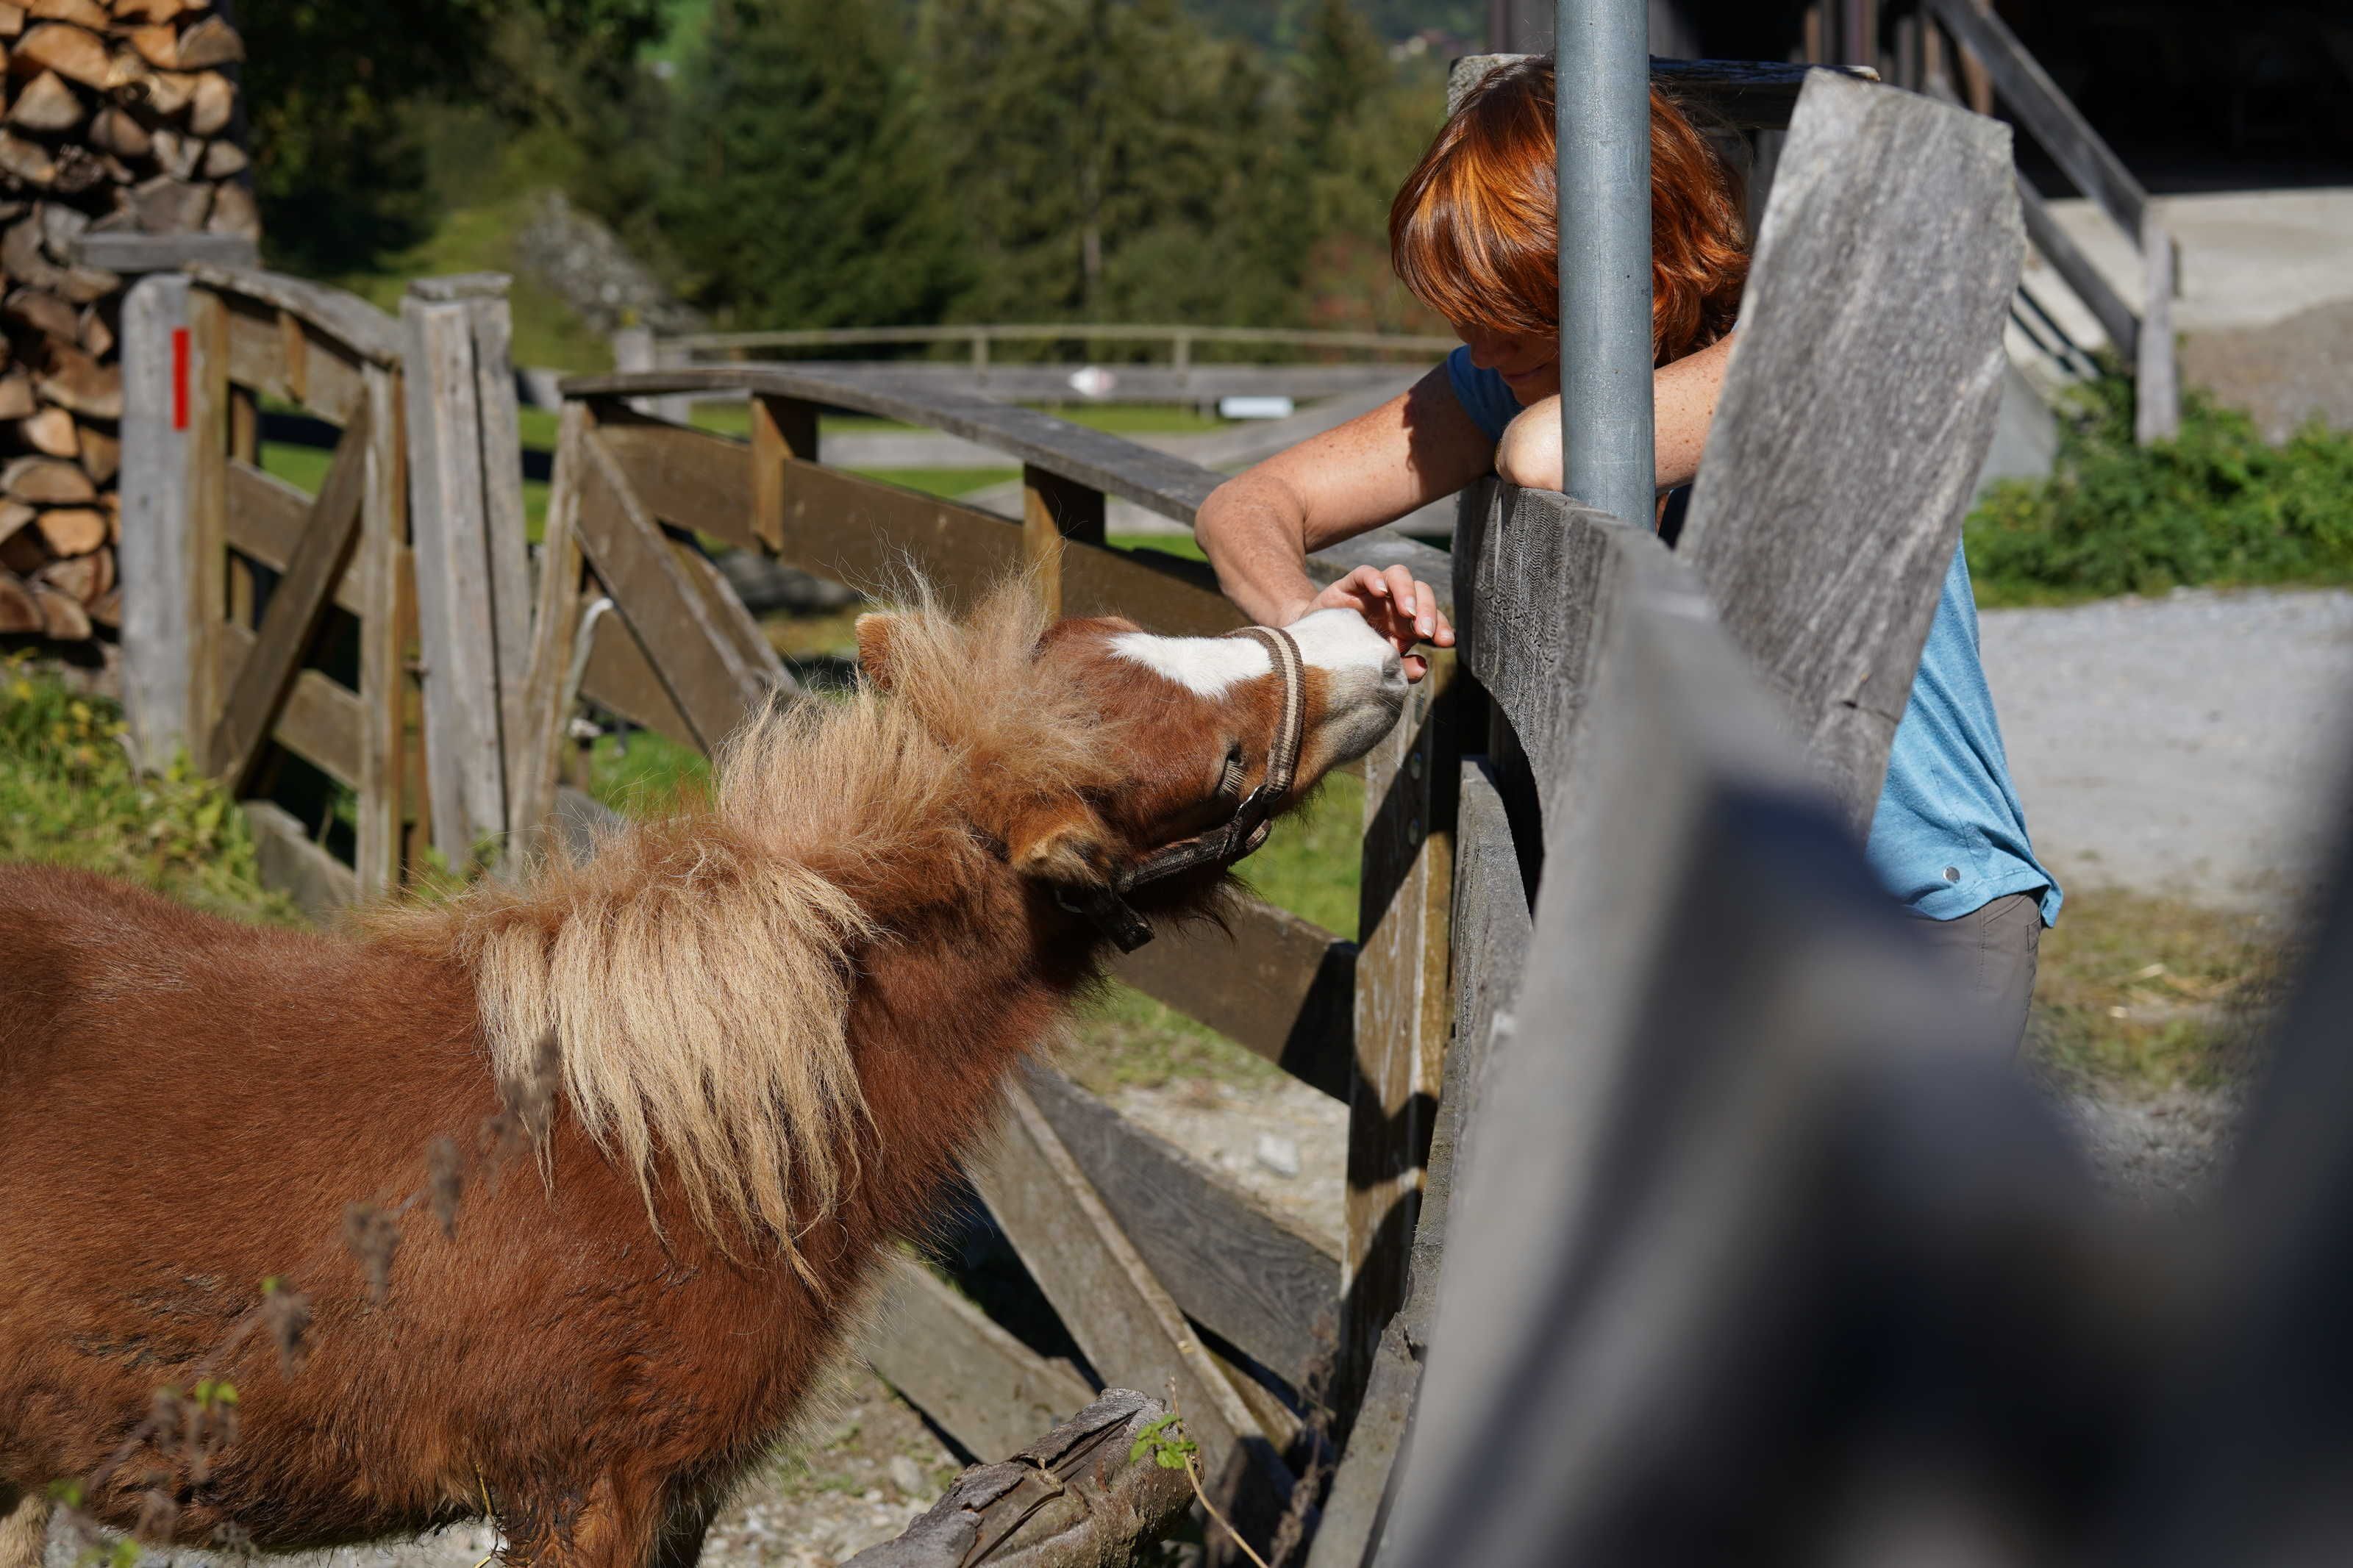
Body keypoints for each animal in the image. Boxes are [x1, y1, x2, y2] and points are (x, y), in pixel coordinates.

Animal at [0, 584, 1407, 1568]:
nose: (1375, 643)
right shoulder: (587, 1493)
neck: (655, 1148)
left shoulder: (678, 1494)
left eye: (1126, 626)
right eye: (1221, 770)